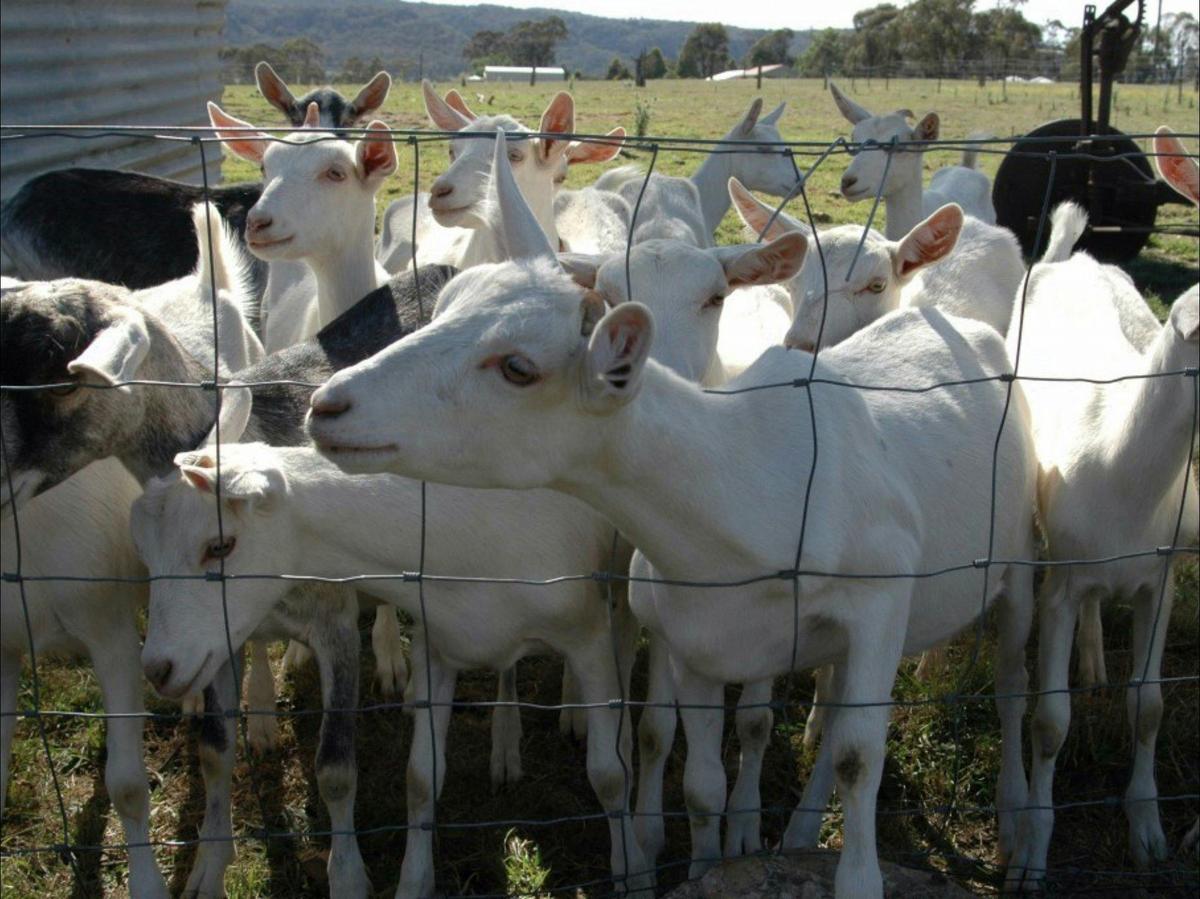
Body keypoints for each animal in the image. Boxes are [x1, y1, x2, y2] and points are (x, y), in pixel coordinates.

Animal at [306, 131, 1039, 898]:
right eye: (446, 303)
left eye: (517, 367)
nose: (329, 404)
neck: (744, 486)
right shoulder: (695, 644)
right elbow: (697, 777)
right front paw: (706, 855)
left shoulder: (877, 603)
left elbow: (856, 755)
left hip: (1020, 559)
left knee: (1014, 690)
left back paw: (1016, 833)